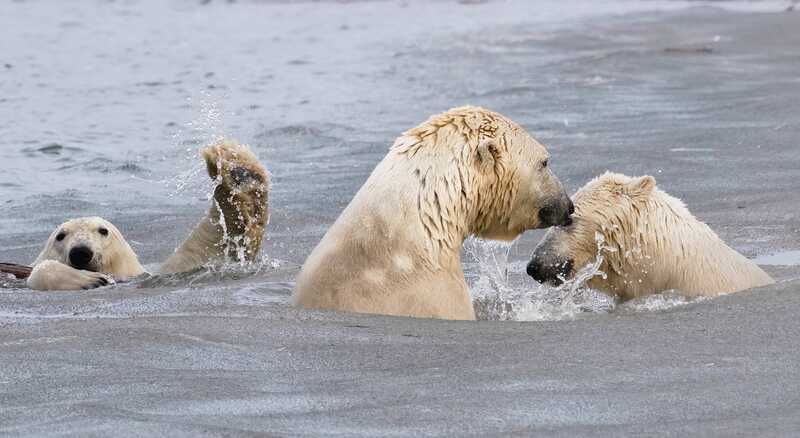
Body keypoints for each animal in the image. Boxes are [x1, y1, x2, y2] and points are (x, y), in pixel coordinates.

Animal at [26, 141, 270, 290]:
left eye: (103, 231)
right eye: (60, 236)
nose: (80, 252)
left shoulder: (149, 274)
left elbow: (205, 251)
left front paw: (239, 174)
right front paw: (89, 280)